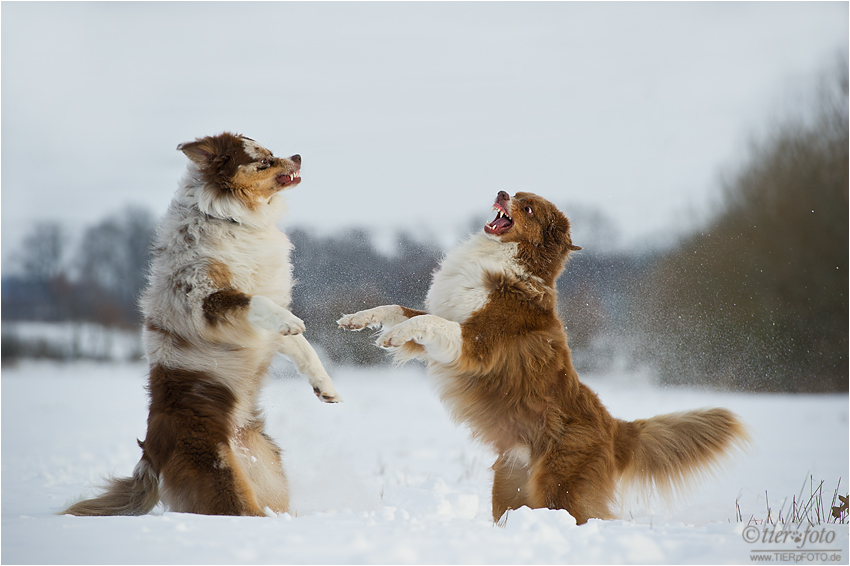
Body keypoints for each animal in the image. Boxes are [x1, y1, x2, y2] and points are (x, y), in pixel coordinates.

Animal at [340, 191, 748, 524]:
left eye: (528, 208)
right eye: (516, 194)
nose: (501, 191)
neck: (502, 260)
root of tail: (615, 426)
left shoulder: (475, 343)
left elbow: (425, 320)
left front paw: (390, 336)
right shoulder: (443, 330)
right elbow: (400, 309)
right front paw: (358, 319)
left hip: (559, 488)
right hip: (510, 488)